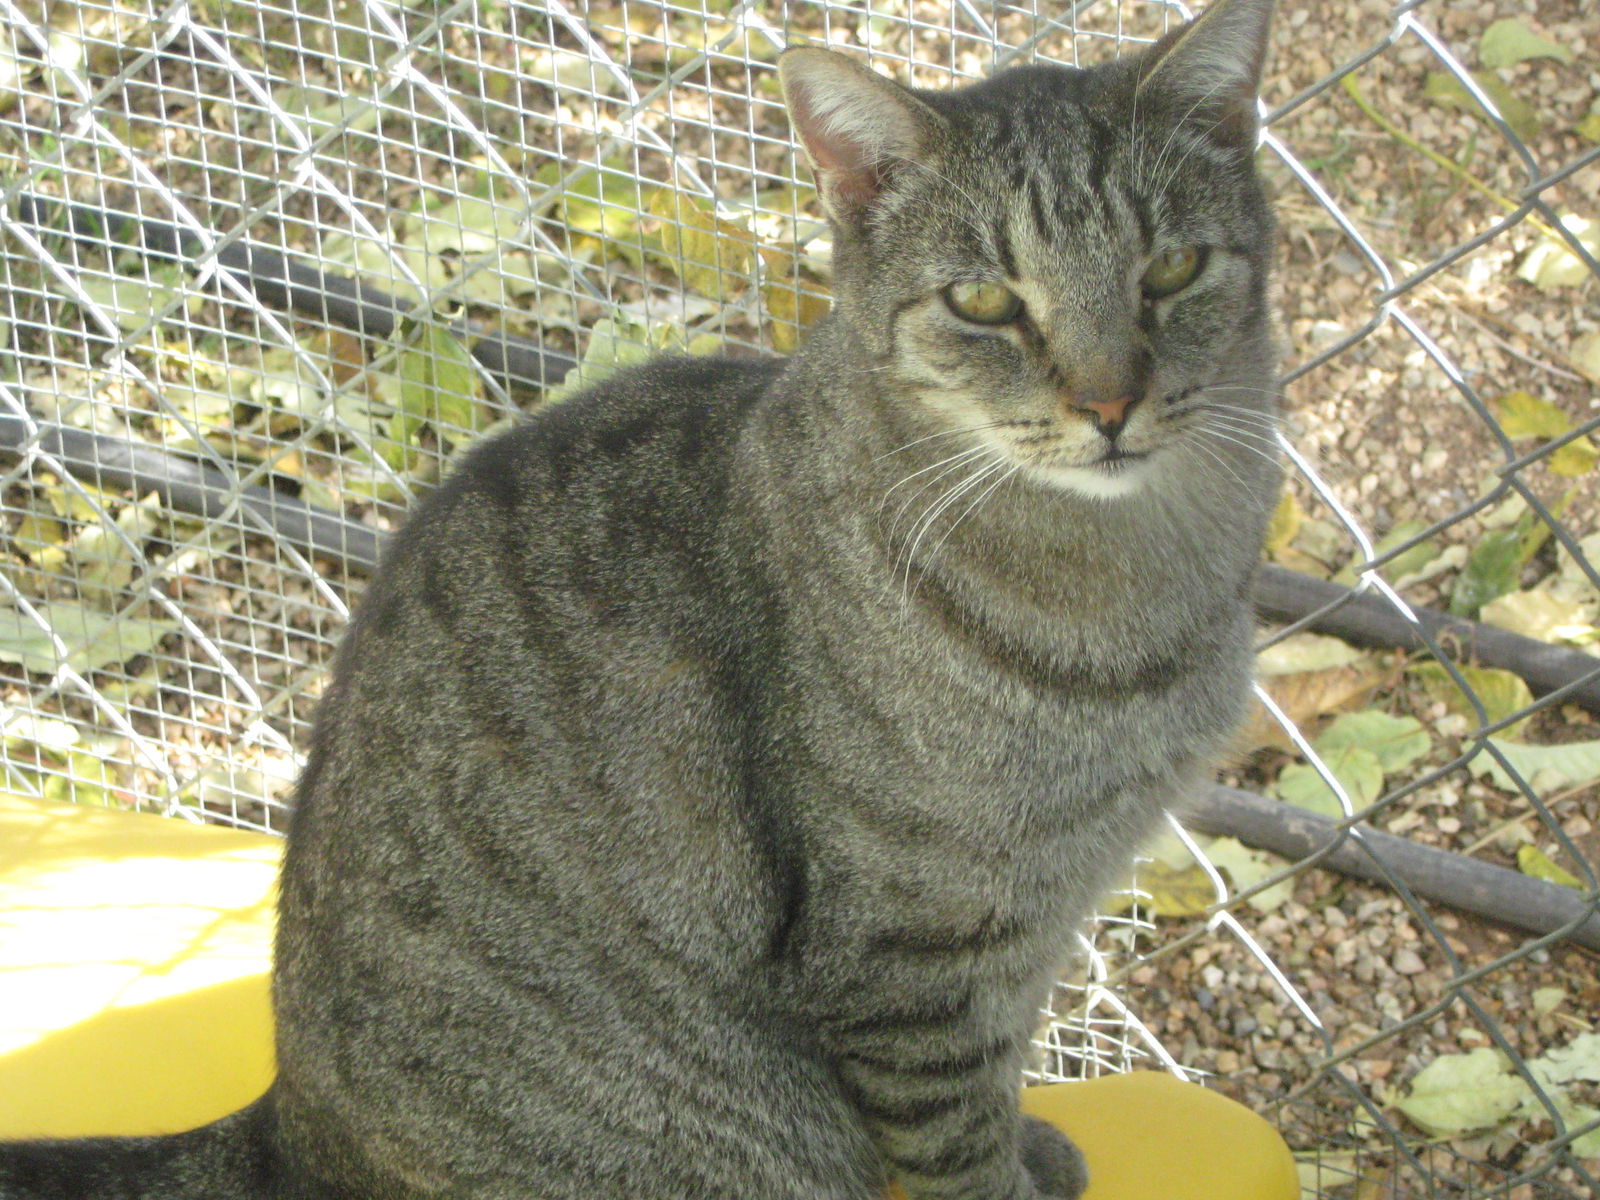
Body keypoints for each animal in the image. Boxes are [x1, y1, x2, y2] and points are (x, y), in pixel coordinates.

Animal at [0, 0, 1273, 1196]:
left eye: (1171, 270)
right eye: (983, 301)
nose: (1108, 404)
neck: (1134, 587)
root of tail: (288, 1124)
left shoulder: (1027, 928)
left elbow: (1000, 1087)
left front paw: (1034, 1145)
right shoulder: (913, 958)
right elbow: (958, 1142)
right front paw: (1008, 1172)